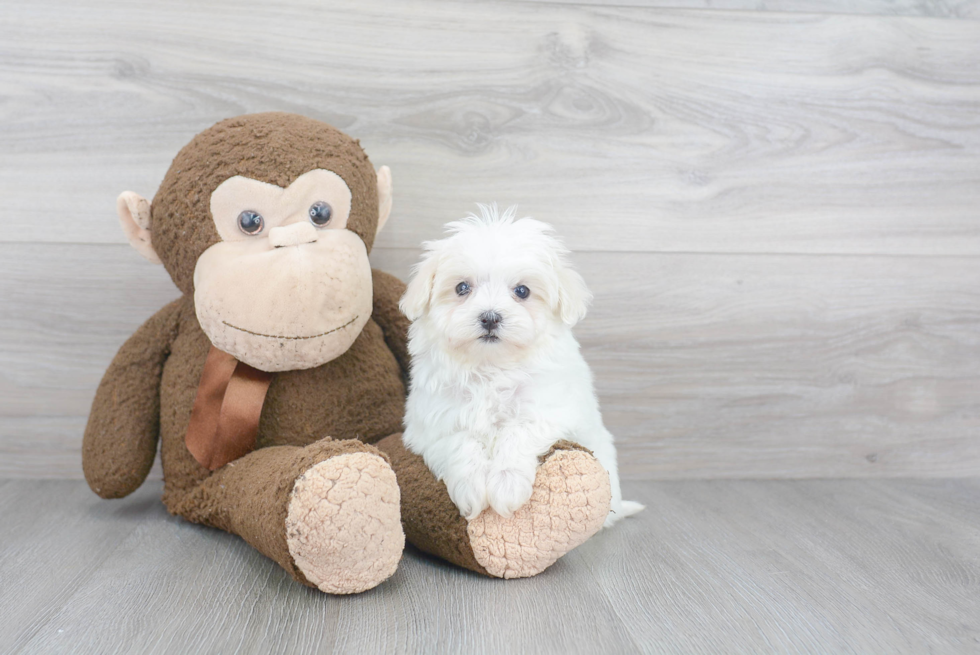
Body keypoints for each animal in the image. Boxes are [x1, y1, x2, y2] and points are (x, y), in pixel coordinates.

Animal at [398, 205, 644, 528]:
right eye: (462, 287)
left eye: (523, 291)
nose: (490, 317)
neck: (491, 366)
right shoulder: (433, 420)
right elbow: (460, 440)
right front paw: (472, 488)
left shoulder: (550, 408)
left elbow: (518, 432)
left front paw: (506, 485)